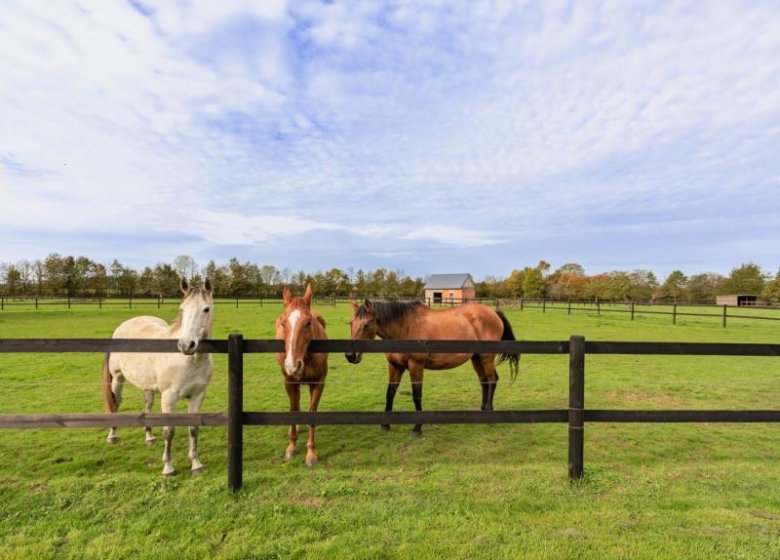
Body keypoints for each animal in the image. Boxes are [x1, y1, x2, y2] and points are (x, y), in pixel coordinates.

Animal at [103, 278, 215, 474]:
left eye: (206, 309)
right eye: (182, 309)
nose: (186, 345)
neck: (187, 361)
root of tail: (122, 326)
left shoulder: (197, 396)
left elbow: (193, 429)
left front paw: (196, 464)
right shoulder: (169, 398)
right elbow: (169, 431)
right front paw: (168, 467)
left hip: (147, 385)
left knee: (147, 405)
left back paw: (149, 437)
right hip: (117, 379)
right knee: (115, 403)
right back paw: (112, 435)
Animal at [276, 282, 328, 466]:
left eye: (308, 322)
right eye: (283, 323)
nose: (293, 365)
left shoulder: (319, 383)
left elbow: (312, 412)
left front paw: (311, 454)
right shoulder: (289, 381)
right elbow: (293, 409)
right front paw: (291, 447)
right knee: (296, 403)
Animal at [346, 300, 516, 436]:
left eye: (366, 325)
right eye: (351, 323)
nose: (350, 355)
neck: (404, 328)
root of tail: (493, 312)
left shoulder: (416, 366)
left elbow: (416, 396)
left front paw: (417, 428)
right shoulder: (394, 366)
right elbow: (390, 393)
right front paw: (385, 424)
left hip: (486, 358)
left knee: (492, 381)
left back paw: (490, 415)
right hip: (476, 359)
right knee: (484, 382)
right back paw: (483, 411)